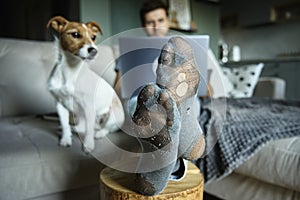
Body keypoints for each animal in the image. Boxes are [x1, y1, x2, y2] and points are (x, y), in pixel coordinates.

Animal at [47, 16, 124, 152]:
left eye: (93, 37)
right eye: (75, 34)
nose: (94, 50)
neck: (70, 70)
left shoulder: (88, 106)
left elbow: (88, 131)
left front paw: (88, 145)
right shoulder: (60, 104)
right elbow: (65, 124)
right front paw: (65, 139)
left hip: (115, 115)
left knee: (107, 128)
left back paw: (99, 133)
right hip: (79, 116)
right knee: (82, 127)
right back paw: (74, 130)